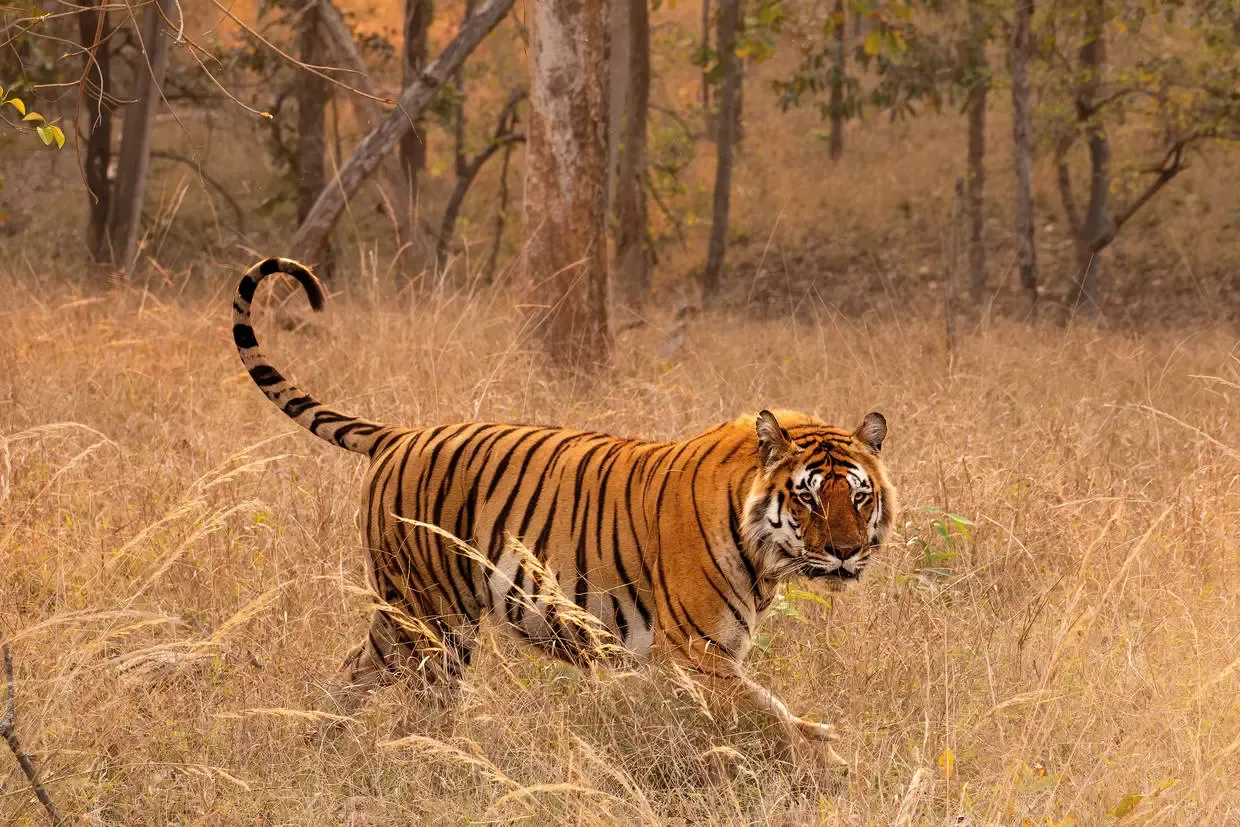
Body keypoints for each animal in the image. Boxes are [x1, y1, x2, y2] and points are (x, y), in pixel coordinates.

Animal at [232, 257, 896, 768]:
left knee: (353, 670)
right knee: (425, 704)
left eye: (859, 496)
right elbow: (773, 719)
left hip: (403, 614)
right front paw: (831, 764)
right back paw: (438, 760)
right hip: (434, 618)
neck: (766, 556)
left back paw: (322, 743)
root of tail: (400, 434)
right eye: (808, 496)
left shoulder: (706, 659)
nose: (844, 552)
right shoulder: (699, 655)